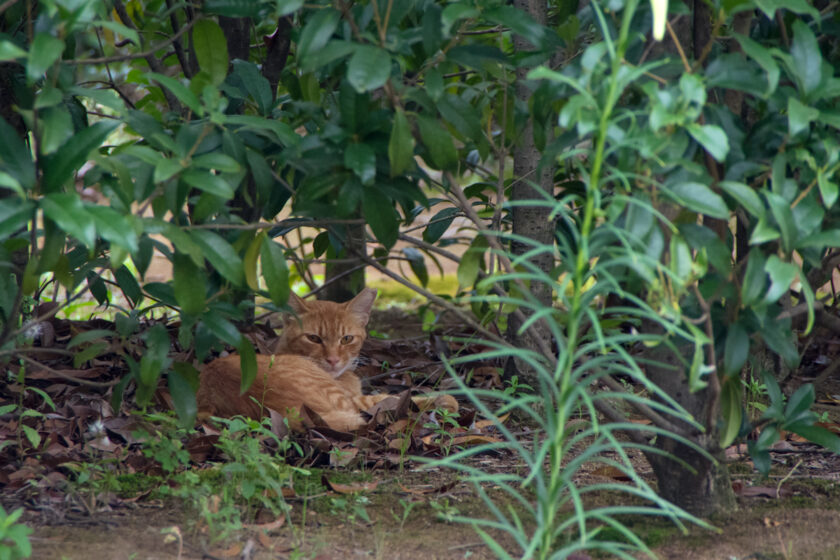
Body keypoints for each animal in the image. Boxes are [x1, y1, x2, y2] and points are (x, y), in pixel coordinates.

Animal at [195, 286, 460, 430]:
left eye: (346, 339)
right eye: (313, 338)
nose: (333, 360)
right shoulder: (357, 400)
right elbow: (400, 396)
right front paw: (447, 399)